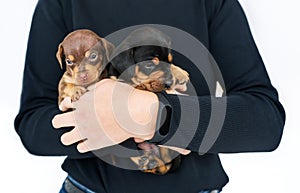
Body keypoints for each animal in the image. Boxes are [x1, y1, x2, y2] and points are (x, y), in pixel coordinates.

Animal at [109, 26, 190, 175]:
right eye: (148, 65)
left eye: (169, 61)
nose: (169, 84)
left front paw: (179, 72)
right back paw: (147, 162)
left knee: (165, 164)